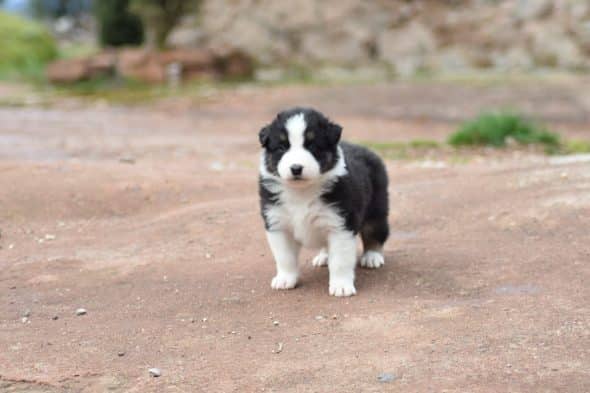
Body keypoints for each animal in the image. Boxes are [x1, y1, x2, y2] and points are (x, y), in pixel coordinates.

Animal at [258, 107, 388, 298]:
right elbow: (284, 257)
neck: (302, 191)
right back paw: (324, 256)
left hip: (376, 208)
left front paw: (341, 286)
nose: (296, 168)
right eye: (281, 147)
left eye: (312, 146)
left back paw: (372, 256)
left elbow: (340, 261)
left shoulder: (341, 224)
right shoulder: (277, 223)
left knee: (375, 232)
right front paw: (285, 279)